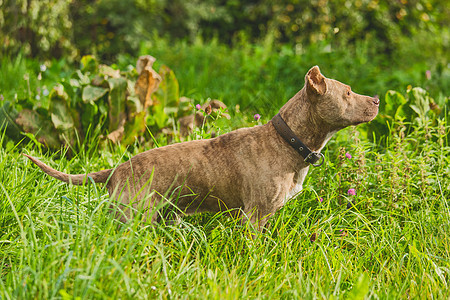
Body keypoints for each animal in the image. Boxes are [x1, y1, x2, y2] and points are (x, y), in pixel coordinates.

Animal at [23, 66, 376, 227]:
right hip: (132, 217)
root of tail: (117, 169)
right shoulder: (254, 215)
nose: (375, 99)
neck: (289, 141)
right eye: (347, 93)